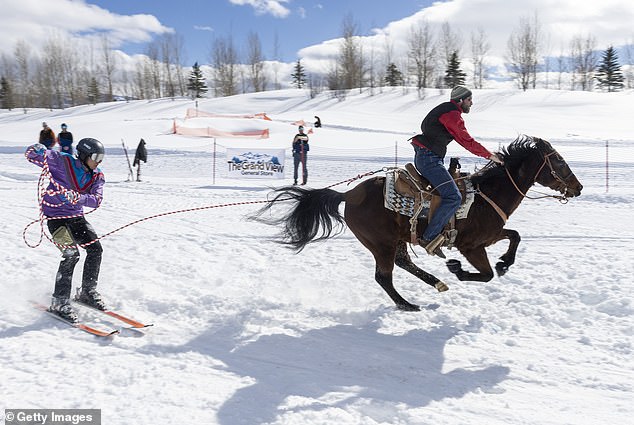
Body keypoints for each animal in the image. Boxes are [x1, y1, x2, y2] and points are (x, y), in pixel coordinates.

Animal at [248, 136, 584, 312]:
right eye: (559, 161)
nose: (578, 187)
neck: (487, 193)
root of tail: (348, 194)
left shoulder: (489, 236)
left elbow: (514, 236)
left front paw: (505, 263)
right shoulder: (471, 246)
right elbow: (486, 274)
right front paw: (460, 269)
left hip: (394, 240)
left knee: (402, 263)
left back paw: (436, 282)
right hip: (380, 243)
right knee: (384, 276)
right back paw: (408, 303)